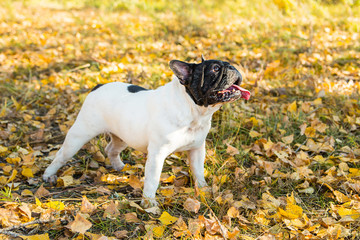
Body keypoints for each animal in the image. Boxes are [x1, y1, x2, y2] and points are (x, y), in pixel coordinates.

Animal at [43, 56, 250, 206]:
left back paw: (120, 167)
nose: (232, 67)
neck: (193, 111)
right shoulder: (157, 154)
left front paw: (204, 189)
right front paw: (149, 203)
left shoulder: (197, 149)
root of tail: (98, 86)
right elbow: (153, 179)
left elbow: (198, 171)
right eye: (215, 69)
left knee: (111, 149)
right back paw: (48, 175)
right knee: (61, 155)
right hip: (80, 134)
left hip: (123, 136)